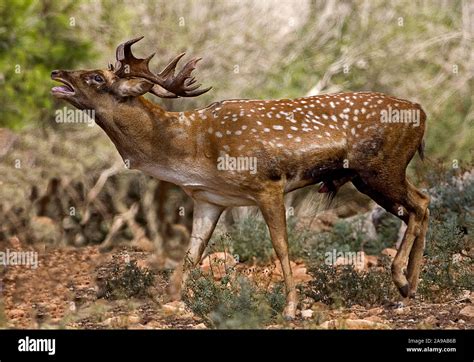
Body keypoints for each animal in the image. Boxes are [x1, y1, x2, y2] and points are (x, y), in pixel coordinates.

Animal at [51, 37, 430, 320]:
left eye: (97, 78)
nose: (57, 73)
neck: (192, 151)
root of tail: (421, 112)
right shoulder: (209, 199)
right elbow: (192, 254)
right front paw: (173, 300)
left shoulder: (268, 184)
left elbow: (281, 246)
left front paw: (290, 308)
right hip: (377, 174)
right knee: (422, 202)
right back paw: (411, 285)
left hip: (379, 171)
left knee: (419, 204)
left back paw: (402, 281)